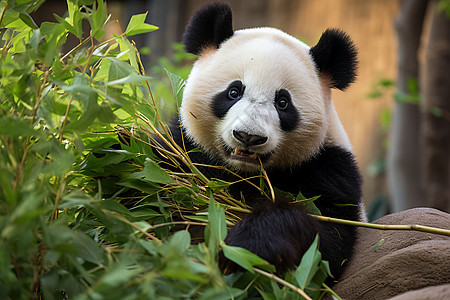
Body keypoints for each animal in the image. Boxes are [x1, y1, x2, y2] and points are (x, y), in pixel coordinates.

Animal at [163, 2, 364, 278]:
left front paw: (245, 245)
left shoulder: (330, 169)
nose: (249, 136)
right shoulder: (184, 147)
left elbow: (328, 240)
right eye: (233, 92)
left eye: (283, 102)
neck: (244, 172)